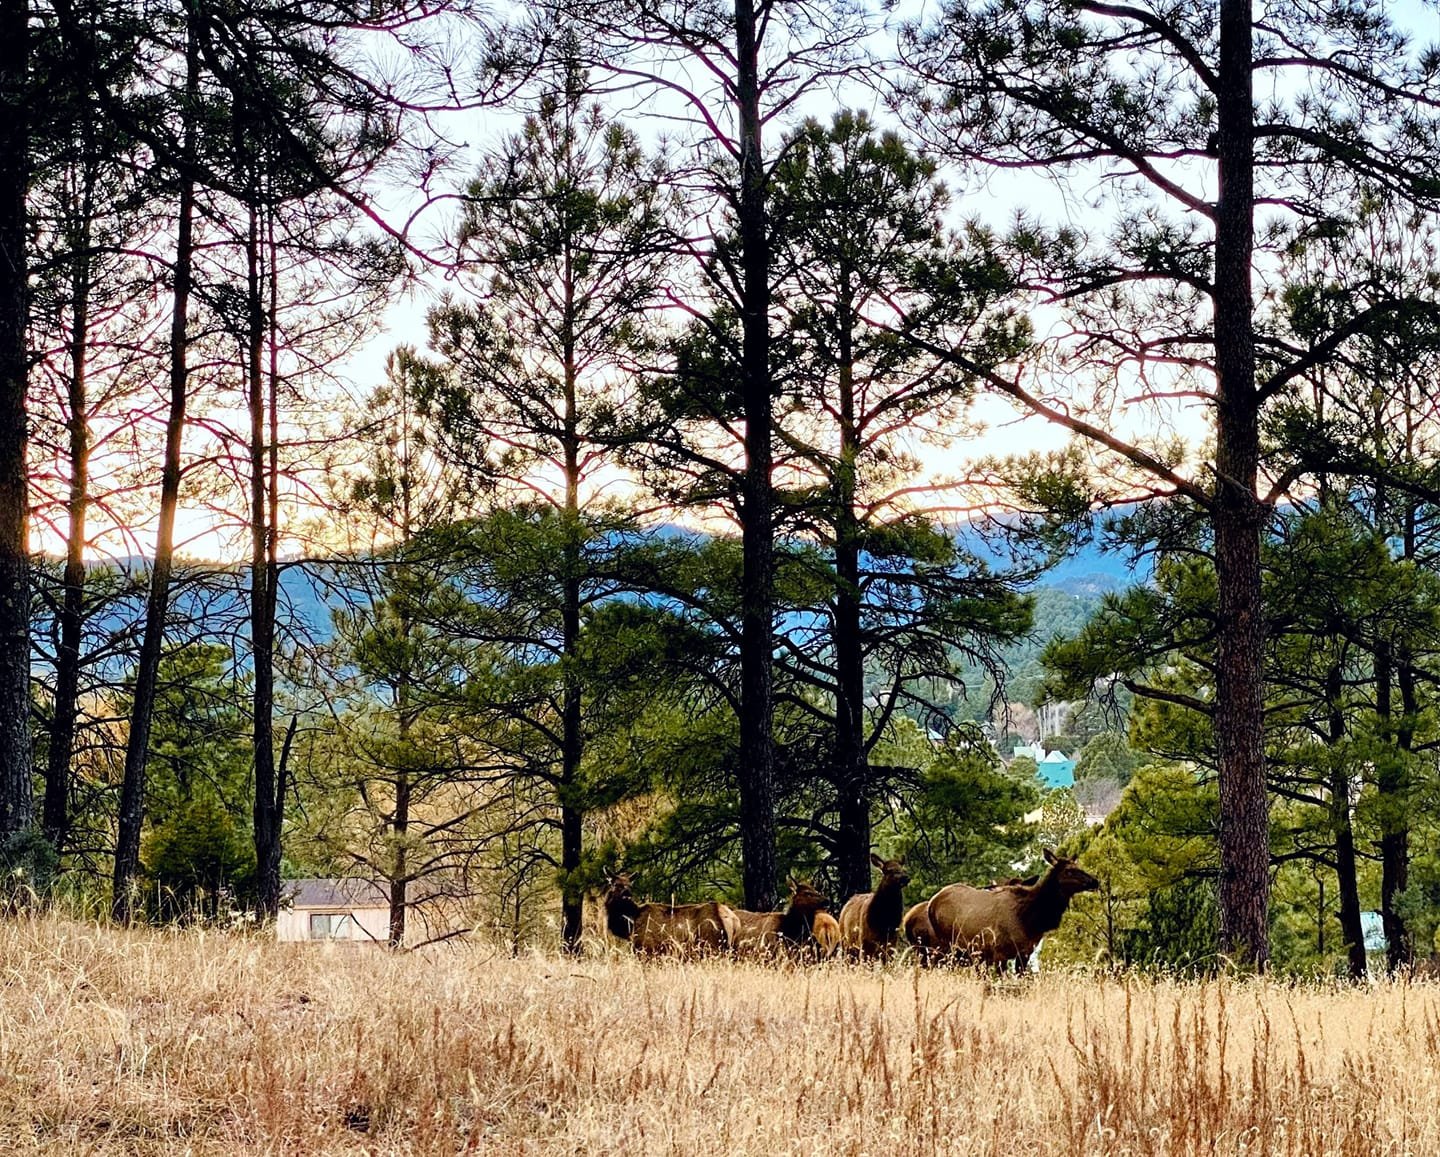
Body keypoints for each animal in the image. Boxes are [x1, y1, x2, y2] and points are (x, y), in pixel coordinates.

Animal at [604, 870, 737, 956]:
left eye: (630, 885)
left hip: (713, 947)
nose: (627, 895)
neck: (630, 926)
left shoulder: (647, 950)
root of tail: (732, 919)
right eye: (615, 884)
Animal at [921, 852, 1100, 968]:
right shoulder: (999, 952)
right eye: (1069, 870)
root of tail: (932, 903)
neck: (1031, 920)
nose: (1095, 881)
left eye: (1078, 866)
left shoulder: (1025, 953)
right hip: (947, 945)